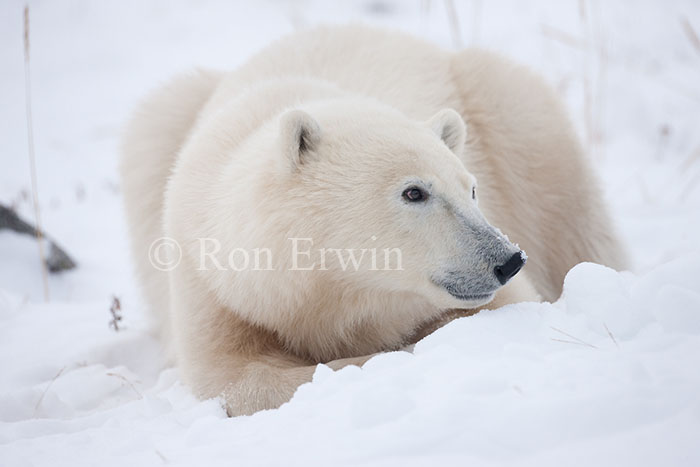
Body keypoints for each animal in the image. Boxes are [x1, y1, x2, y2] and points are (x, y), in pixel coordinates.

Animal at [120, 26, 626, 416]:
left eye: (471, 189)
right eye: (414, 191)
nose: (507, 260)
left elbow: (506, 307)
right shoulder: (216, 282)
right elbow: (234, 378)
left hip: (509, 114)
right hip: (164, 125)